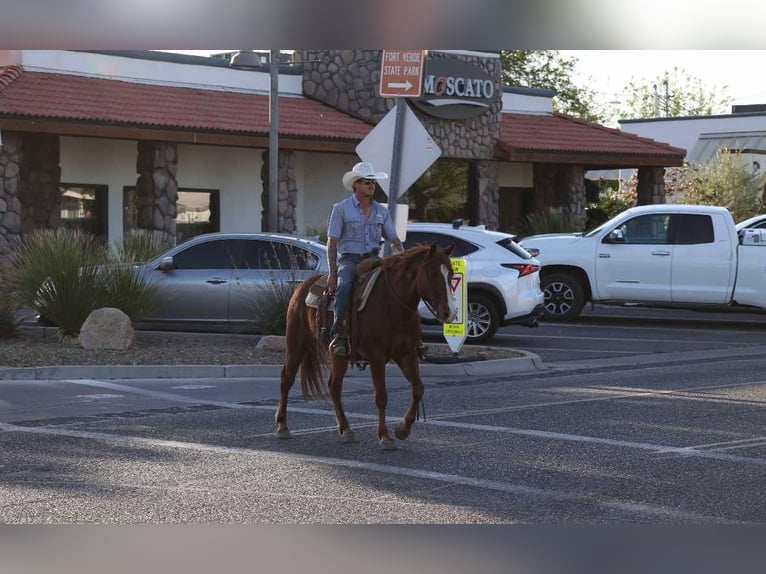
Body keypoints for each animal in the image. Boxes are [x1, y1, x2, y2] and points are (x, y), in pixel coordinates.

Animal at [276, 243, 457, 449]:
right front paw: (385, 436)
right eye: (433, 273)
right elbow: (381, 396)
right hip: (296, 344)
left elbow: (418, 388)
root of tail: (302, 286)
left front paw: (402, 429)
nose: (449, 313)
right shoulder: (377, 356)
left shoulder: (406, 354)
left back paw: (346, 430)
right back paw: (282, 426)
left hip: (338, 355)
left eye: (451, 274)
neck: (393, 303)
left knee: (334, 387)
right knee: (287, 379)